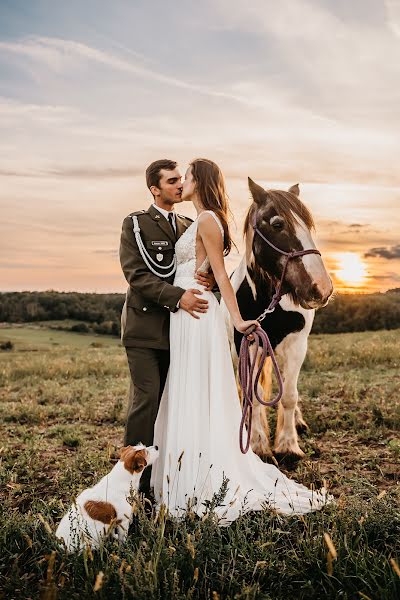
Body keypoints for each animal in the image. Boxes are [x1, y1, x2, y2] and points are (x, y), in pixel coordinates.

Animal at [223, 176, 332, 462]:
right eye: (277, 224)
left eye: (309, 225)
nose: (322, 287)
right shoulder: (248, 344)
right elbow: (252, 393)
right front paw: (259, 445)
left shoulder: (296, 345)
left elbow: (290, 395)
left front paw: (288, 446)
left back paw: (298, 422)